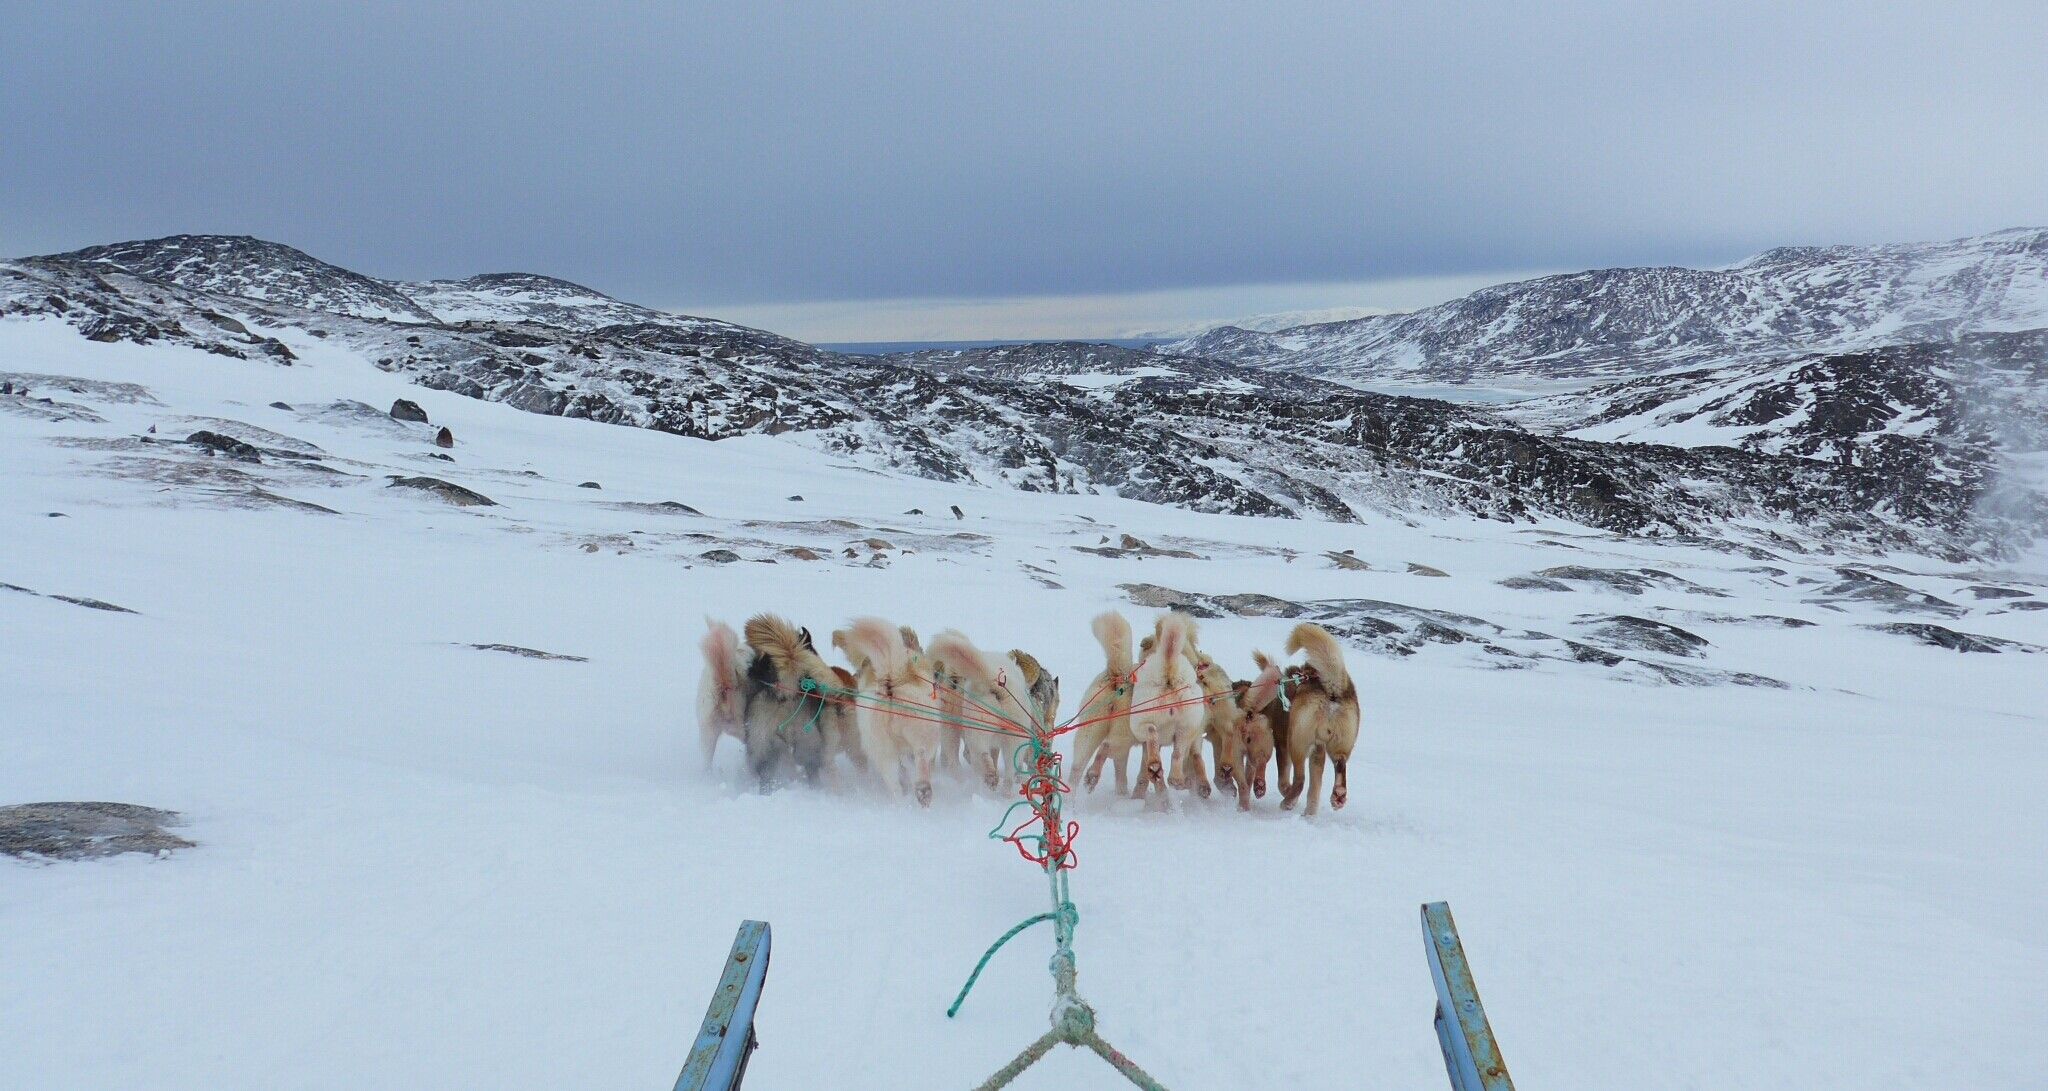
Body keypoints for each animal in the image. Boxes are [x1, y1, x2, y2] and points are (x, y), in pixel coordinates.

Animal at [1277, 622, 1359, 818]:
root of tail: (1333, 688)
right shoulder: (1318, 751)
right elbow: (1314, 789)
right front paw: (1310, 812)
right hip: (1340, 746)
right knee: (1340, 766)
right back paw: (1338, 795)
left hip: (1297, 743)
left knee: (1299, 779)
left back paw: (1288, 802)